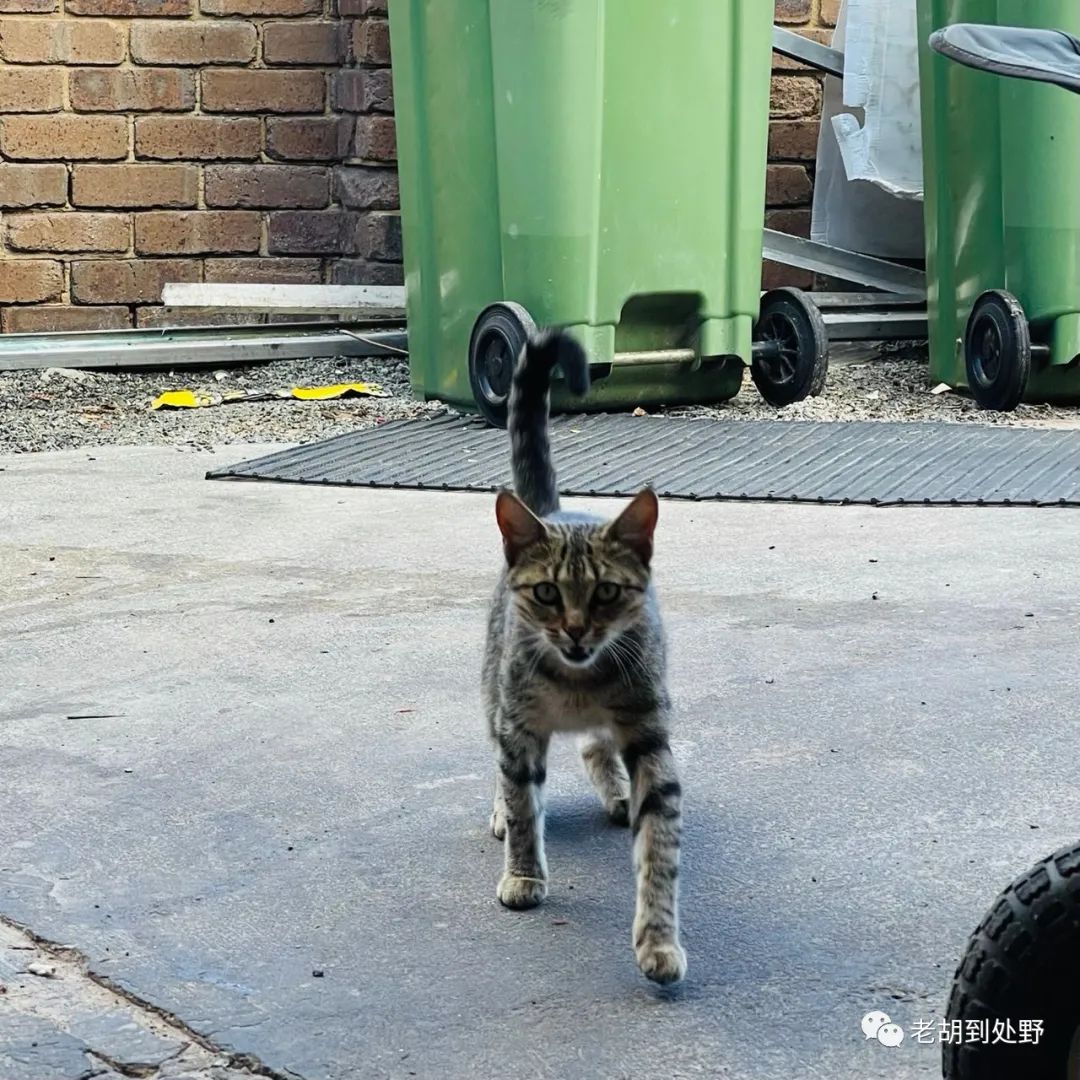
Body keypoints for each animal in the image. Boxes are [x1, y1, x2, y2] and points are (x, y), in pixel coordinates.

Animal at [481, 330, 682, 989]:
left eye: (606, 593)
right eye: (547, 592)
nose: (574, 630)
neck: (578, 681)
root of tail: (555, 511)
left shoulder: (650, 734)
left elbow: (659, 850)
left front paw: (658, 939)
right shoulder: (519, 726)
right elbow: (523, 803)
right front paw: (523, 873)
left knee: (597, 744)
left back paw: (615, 789)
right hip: (493, 689)